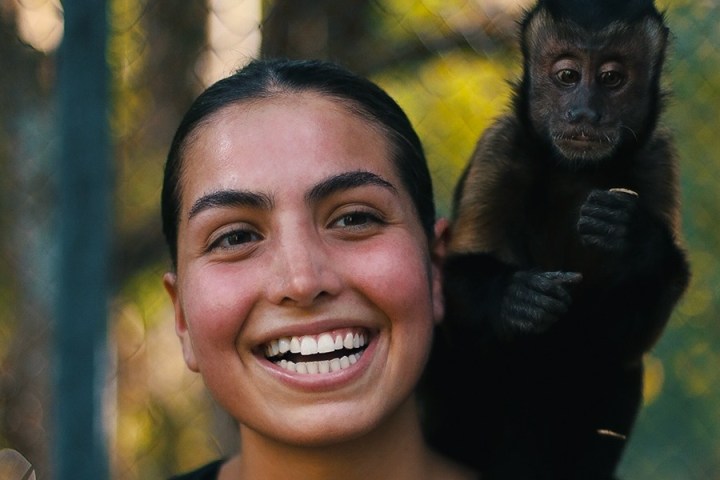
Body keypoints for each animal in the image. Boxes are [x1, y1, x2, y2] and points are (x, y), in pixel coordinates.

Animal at [420, 0, 691, 478]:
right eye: (567, 76)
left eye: (611, 78)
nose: (584, 113)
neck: (576, 172)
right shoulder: (501, 148)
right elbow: (450, 291)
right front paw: (516, 298)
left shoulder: (659, 160)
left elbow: (624, 341)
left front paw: (636, 239)